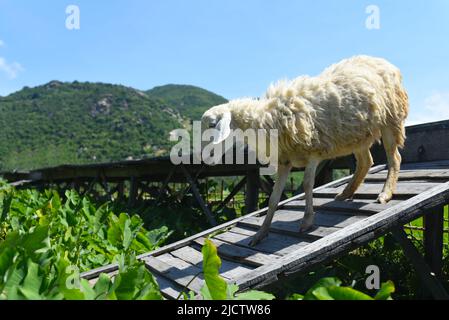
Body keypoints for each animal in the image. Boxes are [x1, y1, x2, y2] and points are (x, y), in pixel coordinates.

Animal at [201, 55, 408, 245]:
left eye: (212, 125)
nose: (205, 157)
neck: (269, 117)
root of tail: (385, 62)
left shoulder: (314, 152)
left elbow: (308, 184)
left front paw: (307, 221)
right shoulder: (285, 160)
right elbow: (273, 198)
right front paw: (261, 233)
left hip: (390, 117)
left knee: (394, 157)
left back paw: (385, 193)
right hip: (357, 133)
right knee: (366, 161)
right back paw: (346, 193)